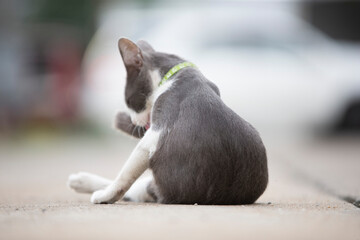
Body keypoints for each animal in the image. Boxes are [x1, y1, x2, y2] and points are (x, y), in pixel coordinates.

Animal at [67, 37, 268, 204]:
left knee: (135, 186)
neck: (173, 75)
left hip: (163, 185)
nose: (134, 120)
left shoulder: (157, 131)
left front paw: (106, 196)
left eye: (129, 102)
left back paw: (86, 184)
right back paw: (80, 180)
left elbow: (126, 174)